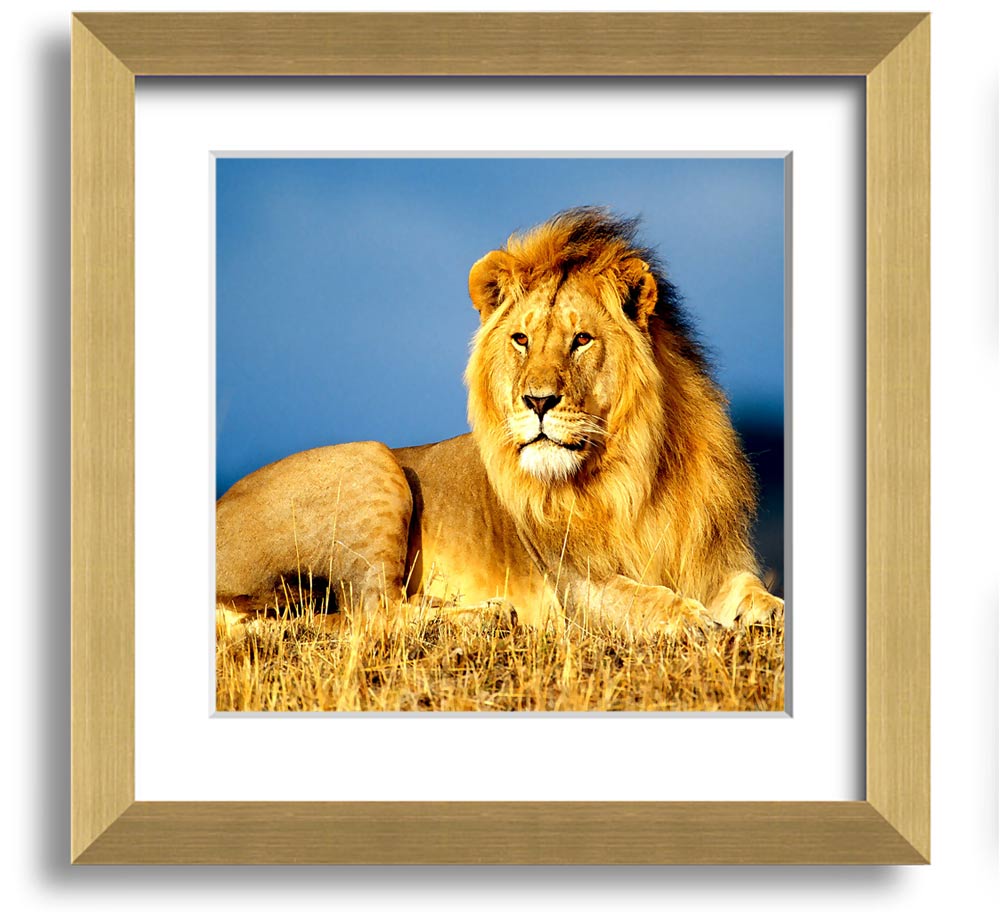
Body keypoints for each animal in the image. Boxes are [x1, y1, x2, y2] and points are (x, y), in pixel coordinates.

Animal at [216, 207, 783, 634]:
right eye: (521, 339)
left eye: (582, 339)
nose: (537, 401)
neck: (635, 472)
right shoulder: (577, 586)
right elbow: (643, 599)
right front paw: (693, 620)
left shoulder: (714, 561)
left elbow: (754, 592)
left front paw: (762, 614)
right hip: (370, 461)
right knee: (372, 614)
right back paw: (486, 615)